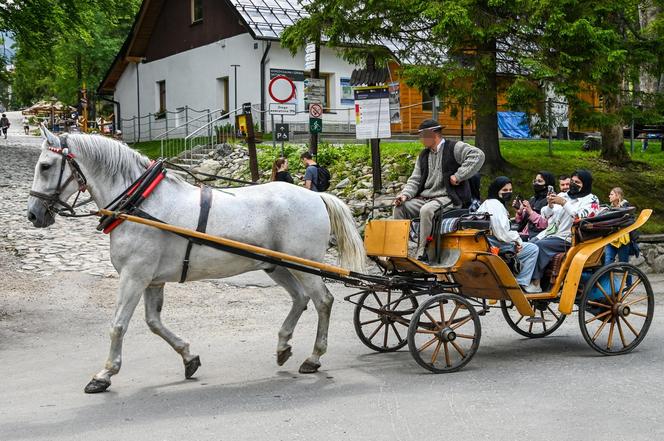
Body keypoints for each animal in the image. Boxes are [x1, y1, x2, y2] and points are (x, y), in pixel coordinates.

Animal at [27, 126, 364, 392]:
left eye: (45, 166)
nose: (33, 215)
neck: (141, 203)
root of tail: (317, 195)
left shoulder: (134, 276)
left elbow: (118, 325)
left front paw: (104, 374)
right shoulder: (152, 280)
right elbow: (154, 323)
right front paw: (189, 357)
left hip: (305, 265)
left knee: (322, 301)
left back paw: (314, 357)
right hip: (275, 265)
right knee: (300, 299)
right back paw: (283, 346)